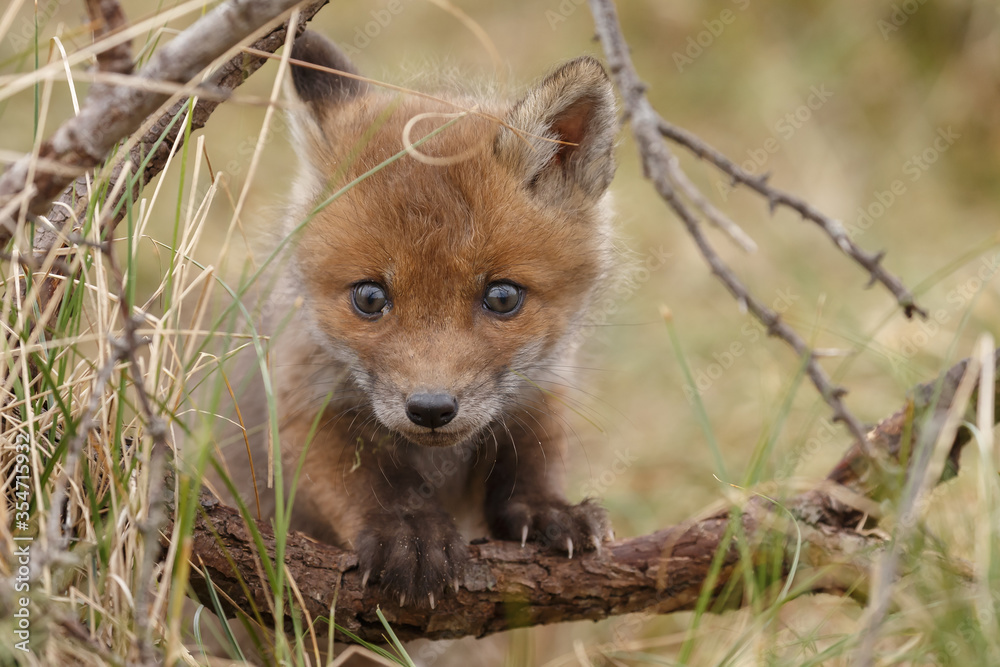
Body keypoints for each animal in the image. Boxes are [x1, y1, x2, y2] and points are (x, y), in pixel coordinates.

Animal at [215, 30, 620, 609]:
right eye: (369, 298)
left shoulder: (541, 388)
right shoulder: (296, 401)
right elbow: (362, 478)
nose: (431, 409)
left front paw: (550, 510)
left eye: (502, 298)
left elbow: (530, 459)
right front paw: (410, 533)